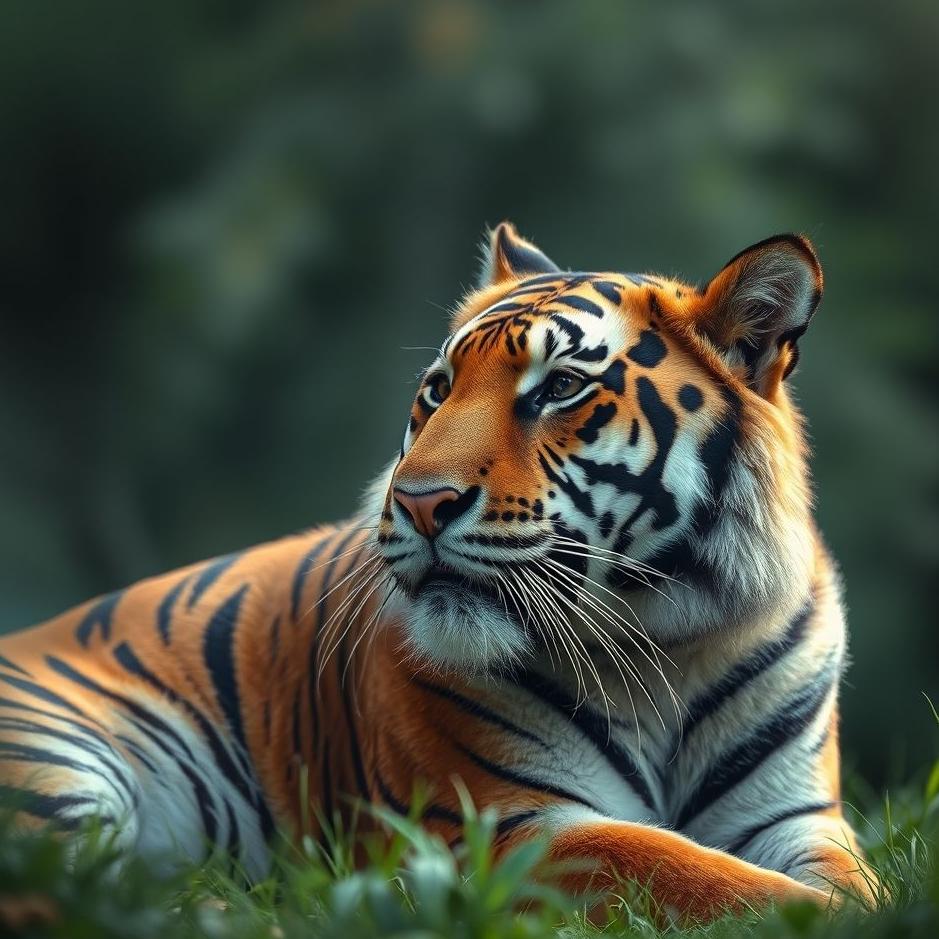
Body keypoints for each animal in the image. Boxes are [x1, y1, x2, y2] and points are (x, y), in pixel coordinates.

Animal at [0, 222, 877, 922]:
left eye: (560, 387)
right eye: (438, 390)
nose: (419, 501)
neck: (666, 641)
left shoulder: (793, 815)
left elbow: (850, 880)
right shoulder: (507, 825)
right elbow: (699, 874)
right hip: (52, 769)